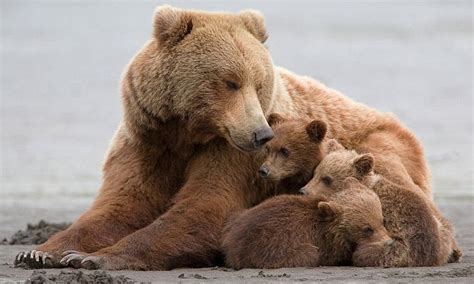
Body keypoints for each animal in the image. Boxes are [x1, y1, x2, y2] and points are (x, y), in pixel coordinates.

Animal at [222, 179, 392, 270]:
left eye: (382, 220)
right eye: (367, 229)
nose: (389, 242)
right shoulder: (325, 244)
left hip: (237, 217)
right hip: (270, 246)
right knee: (308, 254)